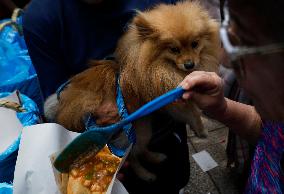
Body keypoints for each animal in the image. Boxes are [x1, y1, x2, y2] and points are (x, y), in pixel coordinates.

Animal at [45, 0, 220, 182]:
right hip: (138, 130)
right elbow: (193, 112)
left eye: (195, 44)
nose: (190, 64)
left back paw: (155, 157)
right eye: (174, 49)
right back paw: (145, 174)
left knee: (140, 150)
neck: (163, 66)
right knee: (132, 155)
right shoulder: (171, 100)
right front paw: (202, 130)